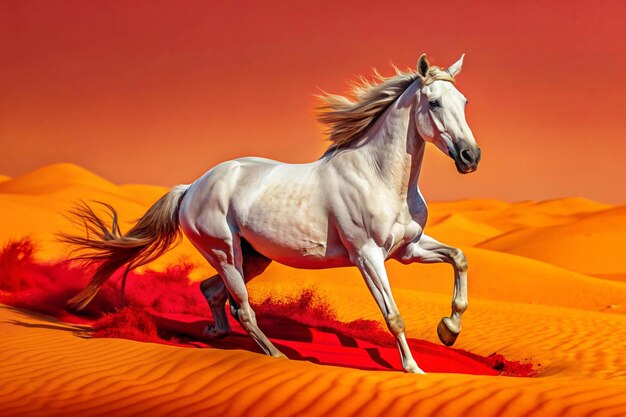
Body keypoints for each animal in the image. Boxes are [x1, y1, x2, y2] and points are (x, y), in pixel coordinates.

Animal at [64, 53, 478, 372]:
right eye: (434, 102)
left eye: (463, 102)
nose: (470, 156)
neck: (378, 176)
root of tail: (192, 188)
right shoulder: (368, 256)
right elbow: (393, 316)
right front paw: (414, 370)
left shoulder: (408, 249)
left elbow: (459, 258)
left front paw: (449, 329)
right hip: (225, 252)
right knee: (242, 307)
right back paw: (277, 355)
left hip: (252, 257)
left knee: (212, 292)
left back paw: (215, 334)